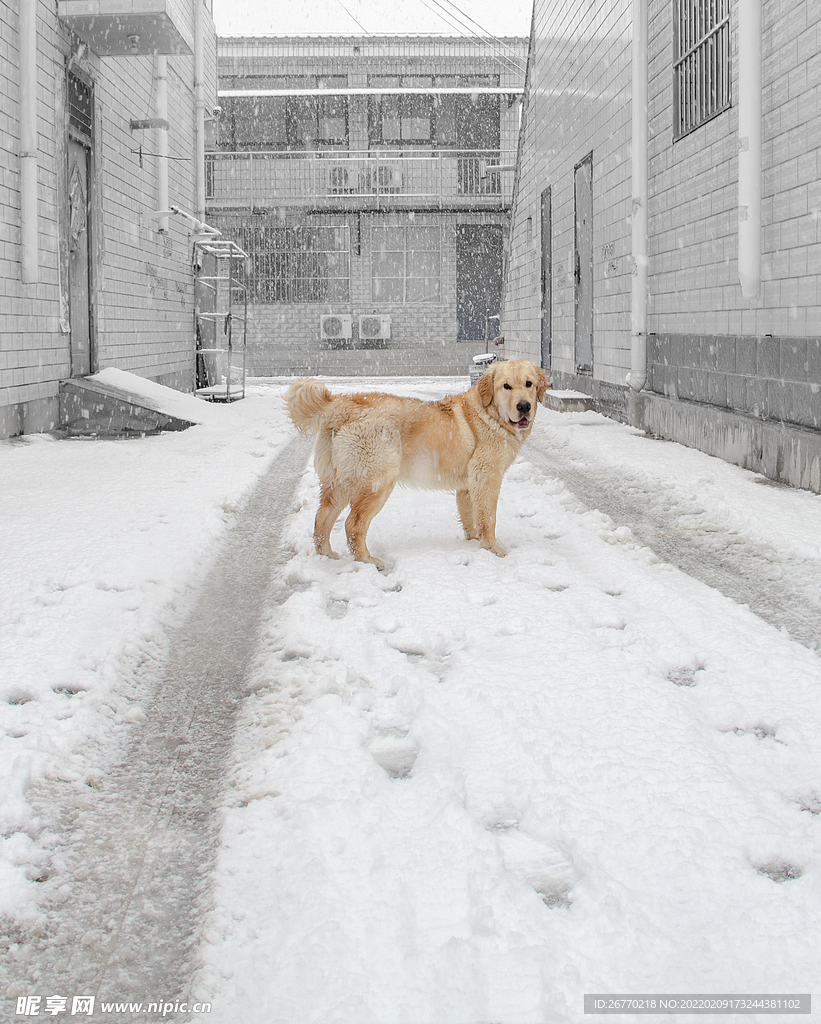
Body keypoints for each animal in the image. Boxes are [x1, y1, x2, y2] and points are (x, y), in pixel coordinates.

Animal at [284, 360, 548, 569]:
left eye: (529, 384)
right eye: (506, 386)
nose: (524, 406)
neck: (490, 414)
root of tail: (341, 403)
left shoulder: (467, 486)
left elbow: (471, 518)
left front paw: (475, 543)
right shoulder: (486, 478)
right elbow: (488, 518)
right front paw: (494, 550)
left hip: (337, 484)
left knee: (322, 518)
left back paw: (327, 556)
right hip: (377, 483)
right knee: (353, 524)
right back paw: (368, 561)